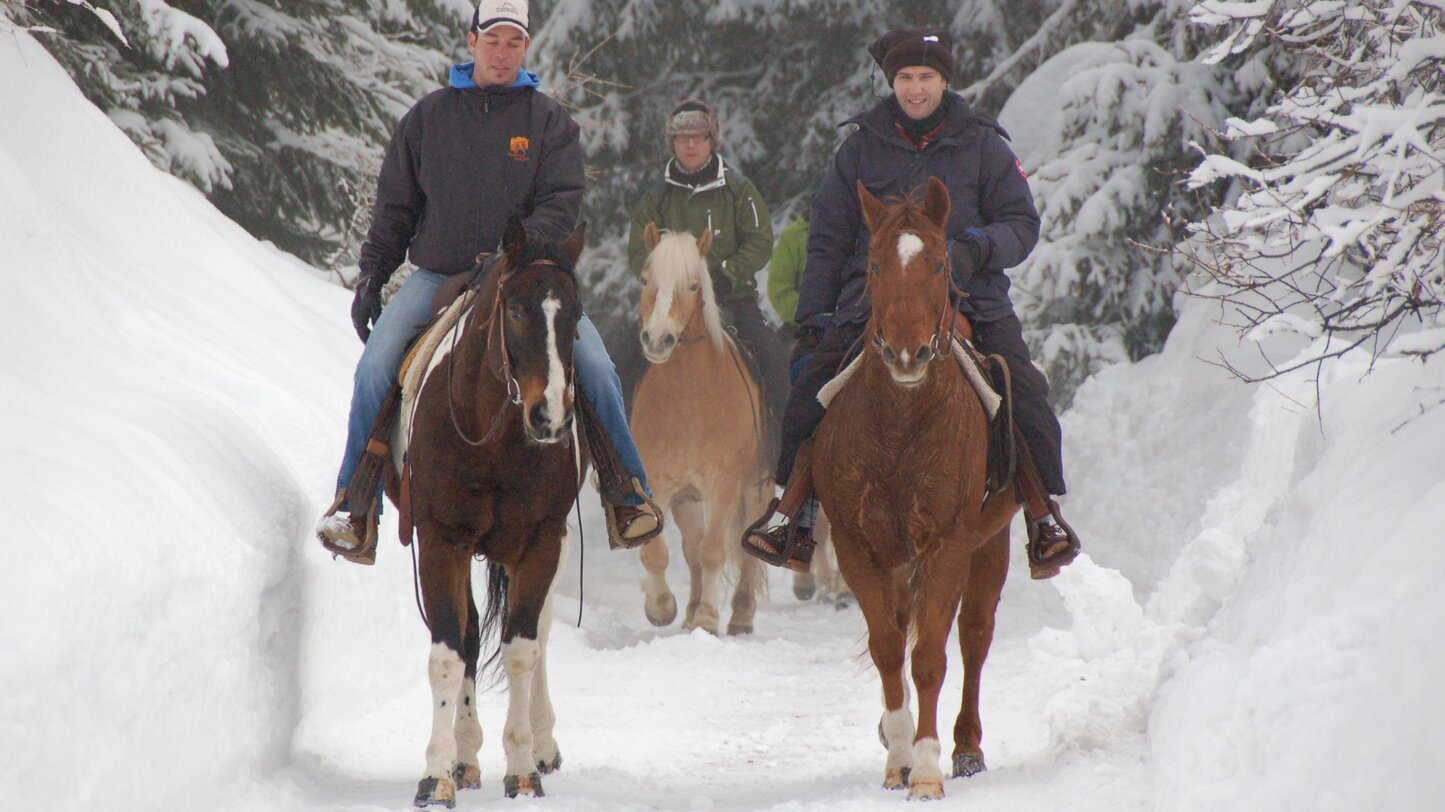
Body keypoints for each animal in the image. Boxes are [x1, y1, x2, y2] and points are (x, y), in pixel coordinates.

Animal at [390, 216, 586, 803]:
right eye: (516, 310)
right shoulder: (441, 539)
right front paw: (438, 774)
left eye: (576, 316)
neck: (493, 438)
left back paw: (542, 744)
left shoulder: (542, 540)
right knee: (473, 633)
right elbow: (450, 652)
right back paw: (466, 756)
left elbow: (523, 647)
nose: (551, 417)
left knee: (538, 631)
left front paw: (522, 766)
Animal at [630, 223, 768, 635]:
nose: (658, 339)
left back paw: (740, 615)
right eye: (645, 279)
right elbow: (658, 552)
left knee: (745, 545)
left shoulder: (724, 484)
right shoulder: (658, 483)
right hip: (688, 498)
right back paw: (690, 611)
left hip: (757, 486)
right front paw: (662, 608)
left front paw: (708, 619)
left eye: (693, 286)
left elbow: (713, 552)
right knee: (690, 550)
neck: (689, 396)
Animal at [814, 178, 1028, 797]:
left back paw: (967, 748)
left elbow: (931, 656)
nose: (907, 354)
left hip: (989, 545)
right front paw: (899, 755)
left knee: (974, 637)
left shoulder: (948, 545)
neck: (901, 429)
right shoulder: (858, 547)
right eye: (873, 265)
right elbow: (889, 648)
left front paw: (929, 768)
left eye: (938, 263)